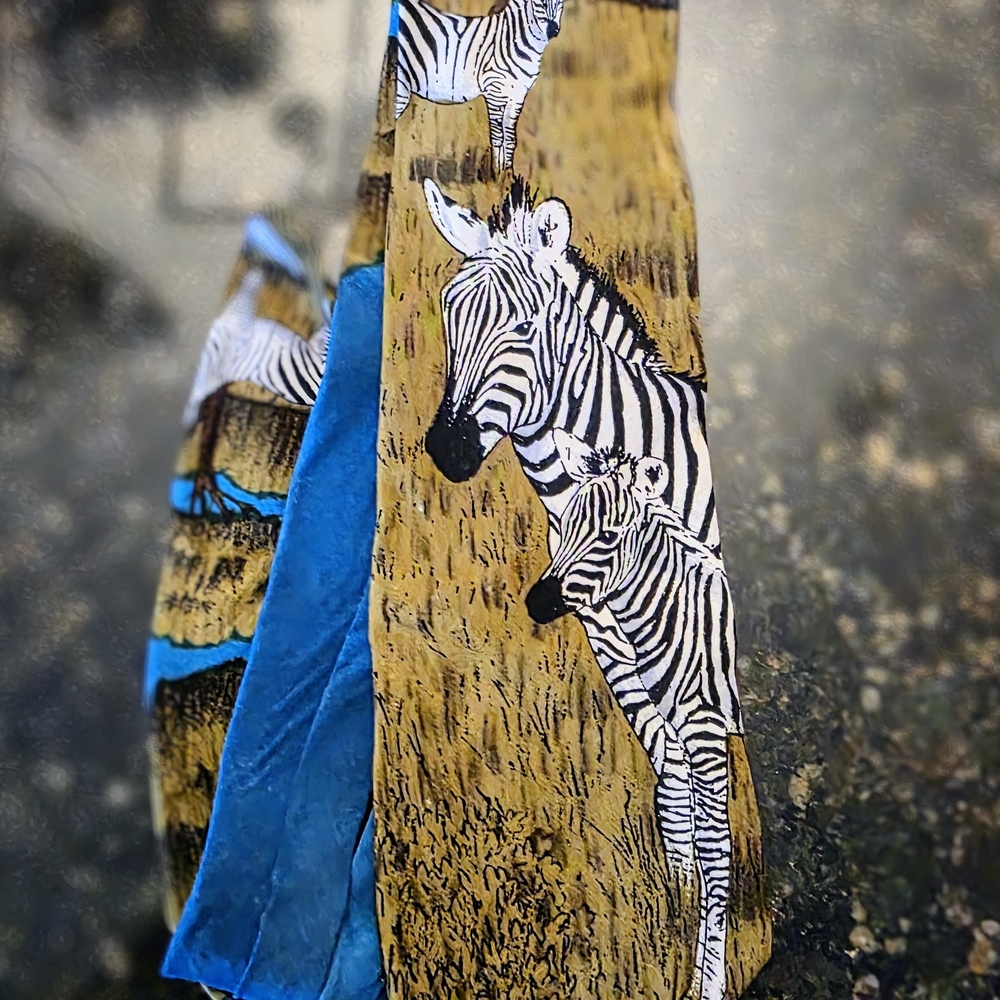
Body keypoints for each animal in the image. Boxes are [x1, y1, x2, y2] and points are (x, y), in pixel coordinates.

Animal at [391, 0, 564, 172]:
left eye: (560, 2)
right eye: (539, 3)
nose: (552, 30)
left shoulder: (517, 96)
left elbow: (510, 139)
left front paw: (507, 174)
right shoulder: (495, 92)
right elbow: (497, 138)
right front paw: (497, 174)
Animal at [525, 430, 742, 1000]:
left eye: (608, 535)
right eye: (565, 523)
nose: (536, 603)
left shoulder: (706, 726)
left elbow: (716, 848)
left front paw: (706, 985)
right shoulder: (660, 712)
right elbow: (674, 794)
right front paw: (680, 902)